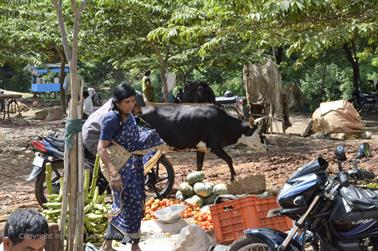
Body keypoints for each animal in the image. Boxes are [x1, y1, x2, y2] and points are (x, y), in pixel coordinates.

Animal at [140, 103, 268, 179]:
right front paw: (233, 177)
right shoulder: (215, 146)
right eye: (261, 135)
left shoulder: (200, 148)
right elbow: (229, 159)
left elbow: (199, 166)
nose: (267, 148)